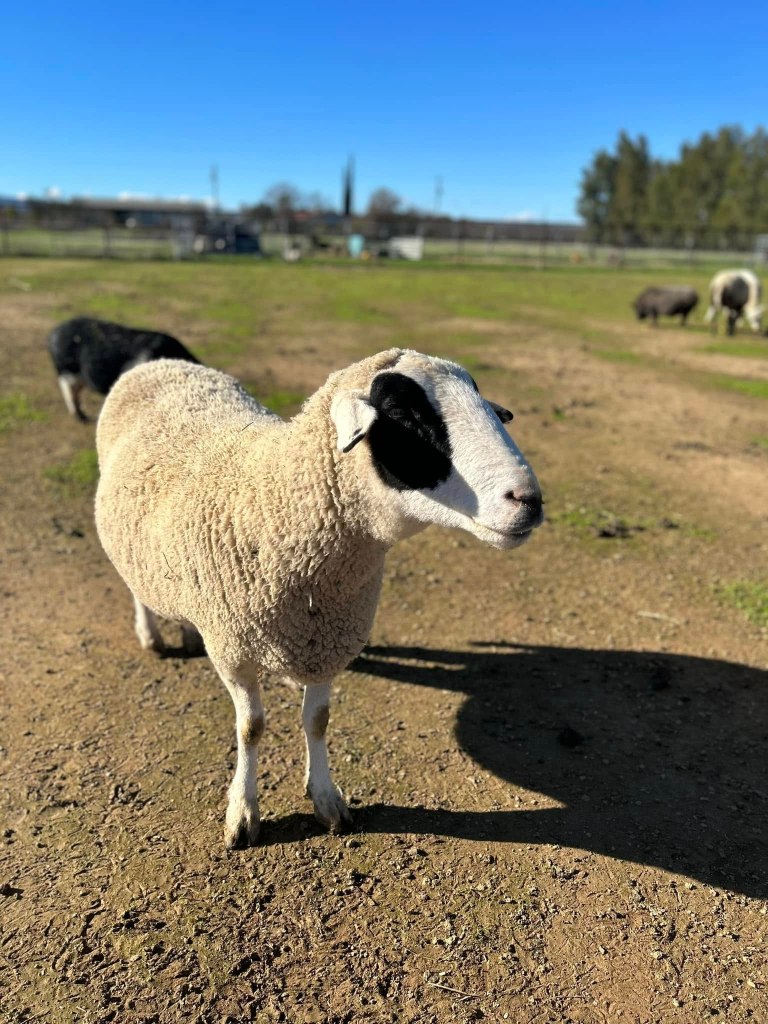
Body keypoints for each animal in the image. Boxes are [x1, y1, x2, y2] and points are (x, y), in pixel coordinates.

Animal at [94, 349, 543, 848]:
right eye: (404, 413)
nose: (529, 501)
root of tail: (163, 362)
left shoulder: (329, 640)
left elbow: (319, 720)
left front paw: (327, 800)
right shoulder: (234, 651)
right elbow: (251, 728)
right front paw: (243, 812)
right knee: (137, 589)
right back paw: (152, 635)